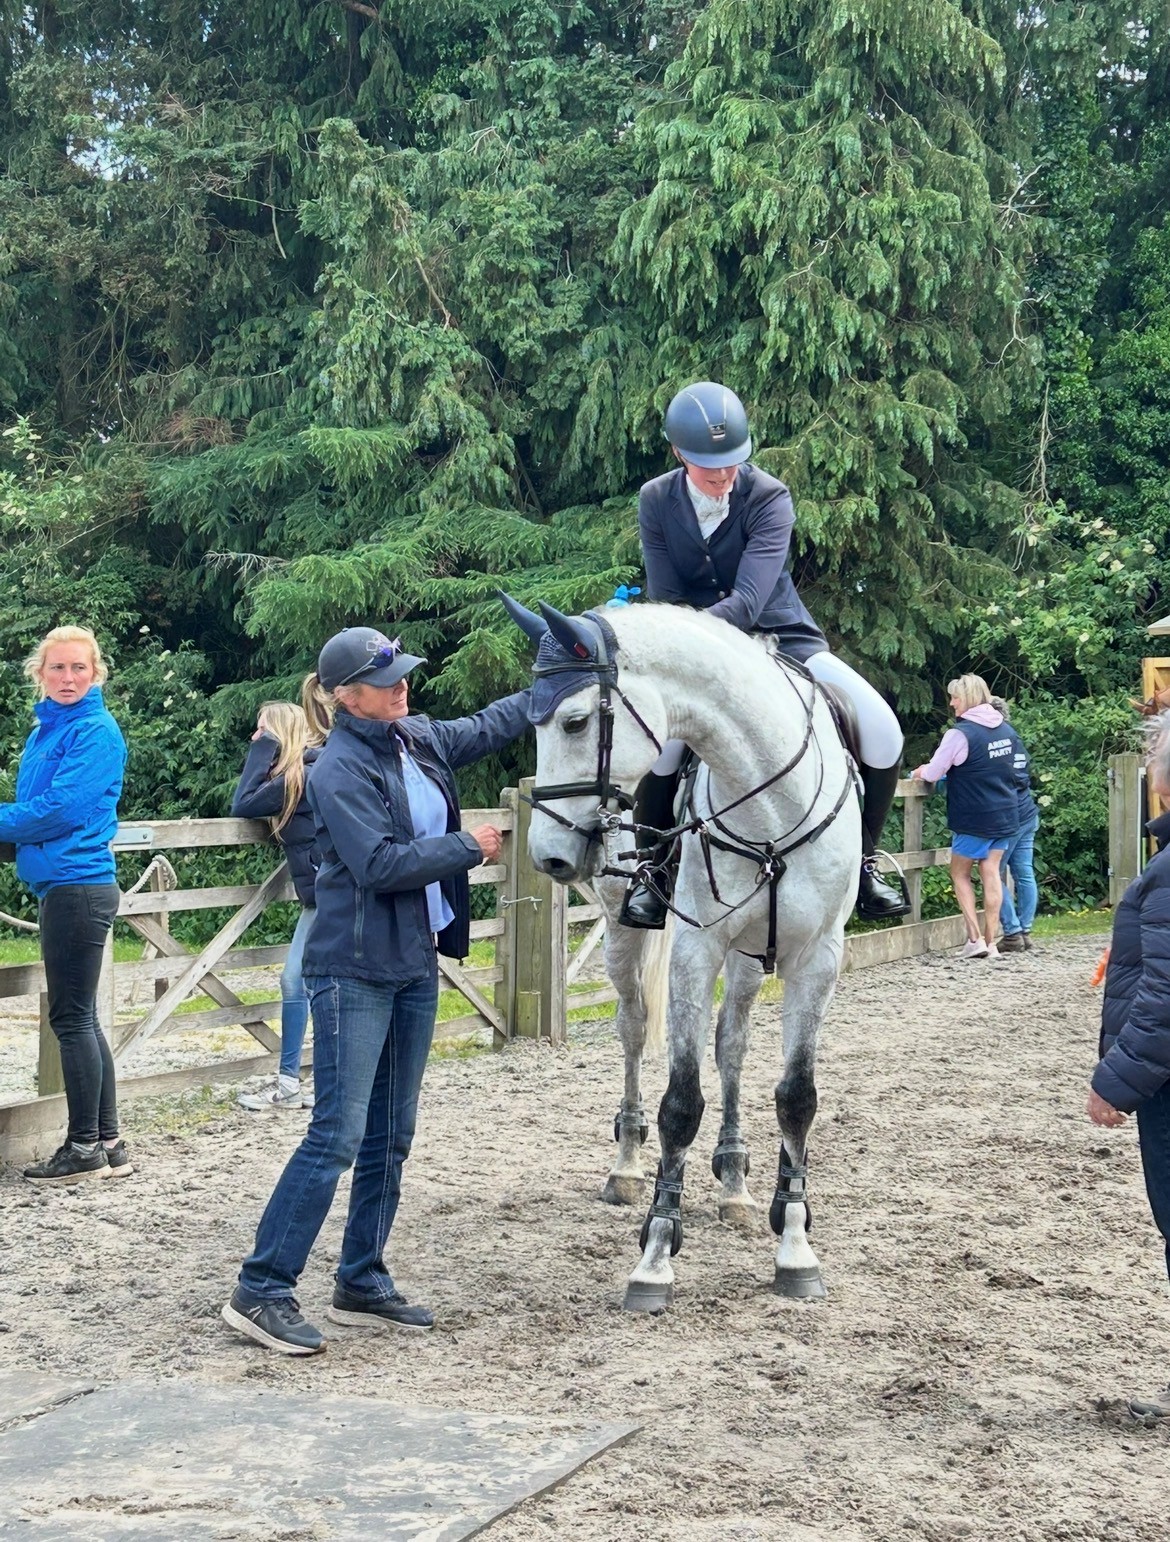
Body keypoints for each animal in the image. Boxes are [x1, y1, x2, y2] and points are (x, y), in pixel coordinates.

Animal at [502, 595, 862, 1311]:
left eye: (575, 721)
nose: (549, 857)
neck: (769, 802)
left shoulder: (817, 958)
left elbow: (796, 1096)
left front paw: (794, 1241)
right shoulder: (697, 948)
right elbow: (680, 1103)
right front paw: (655, 1255)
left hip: (752, 957)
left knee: (733, 1045)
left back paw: (736, 1181)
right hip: (624, 934)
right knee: (635, 1029)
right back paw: (628, 1164)